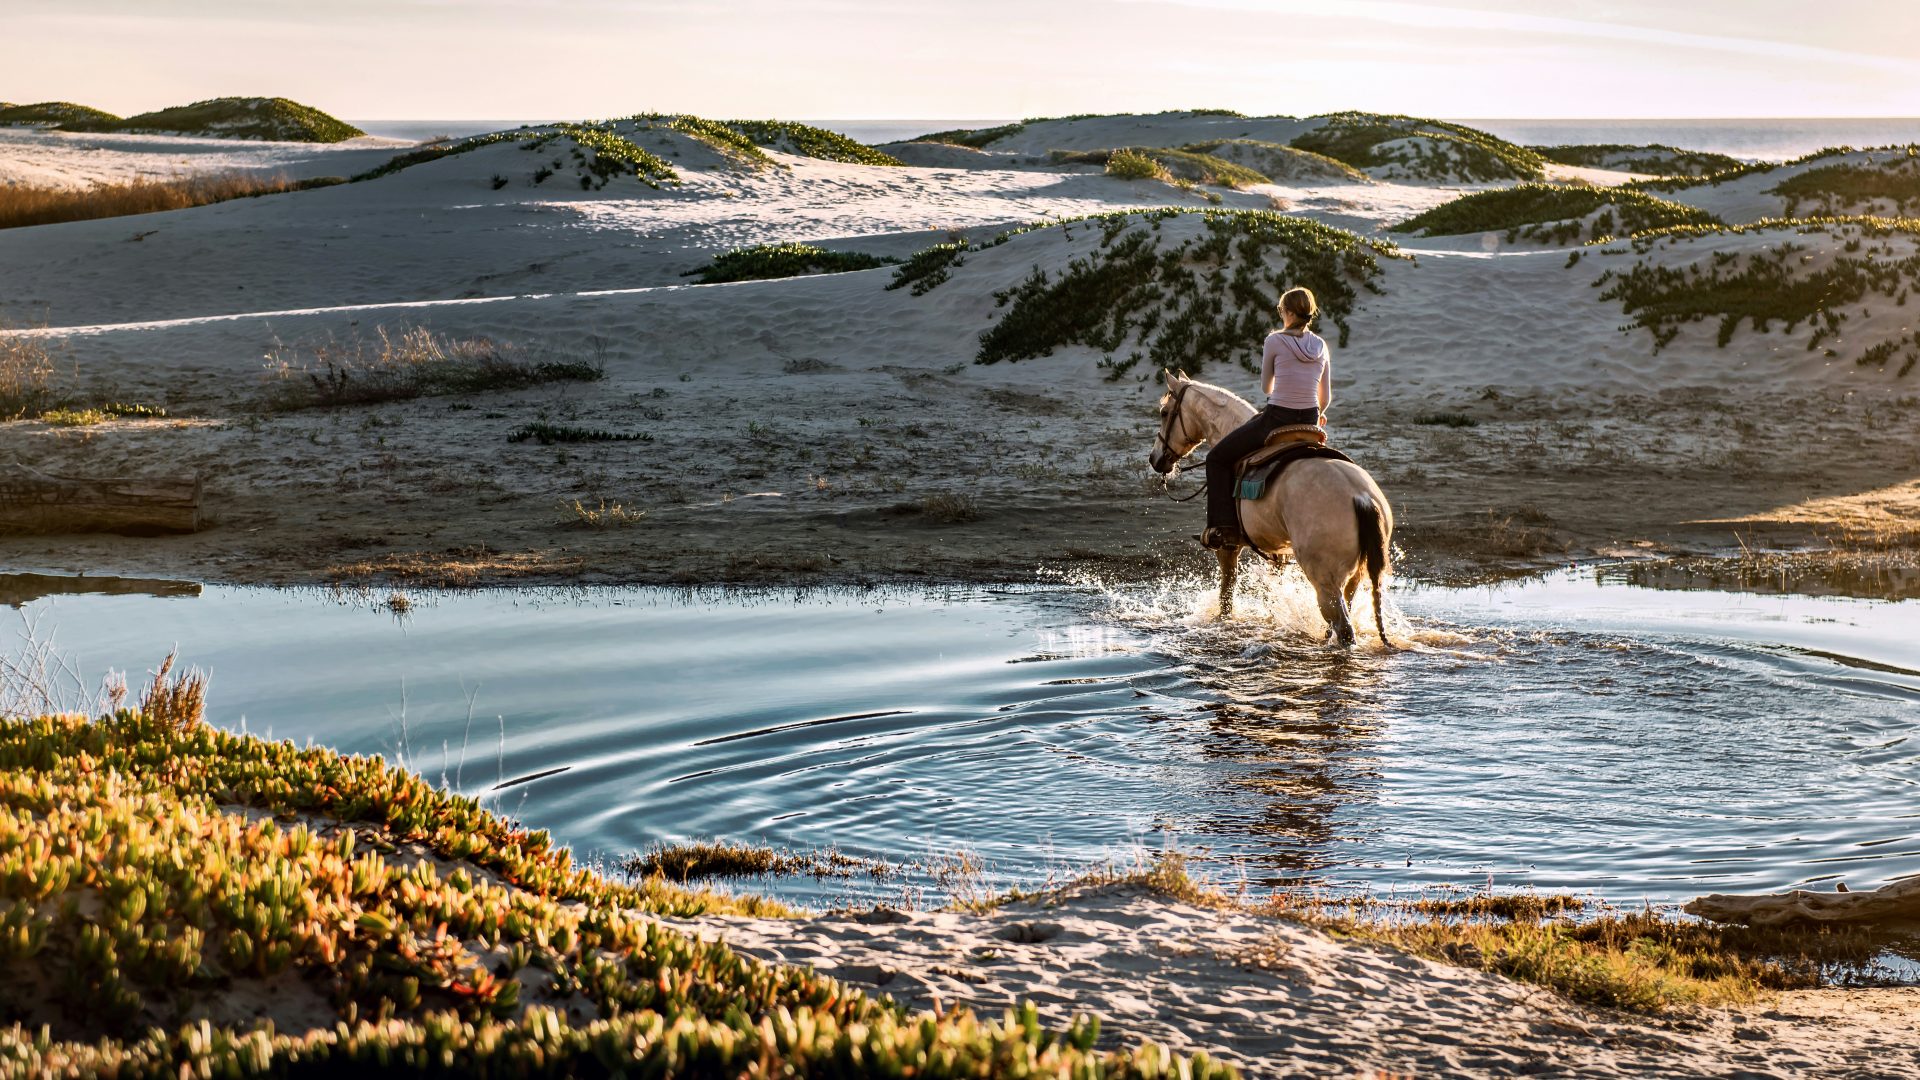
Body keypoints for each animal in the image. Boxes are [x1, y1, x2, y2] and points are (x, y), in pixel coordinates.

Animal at [1147, 369, 1395, 647]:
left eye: (1164, 412)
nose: (1155, 459)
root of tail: (1361, 497)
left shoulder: (1228, 547)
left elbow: (1226, 594)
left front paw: (1223, 624)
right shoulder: (1277, 552)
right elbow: (1271, 592)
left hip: (1325, 582)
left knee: (1344, 629)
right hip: (1355, 577)